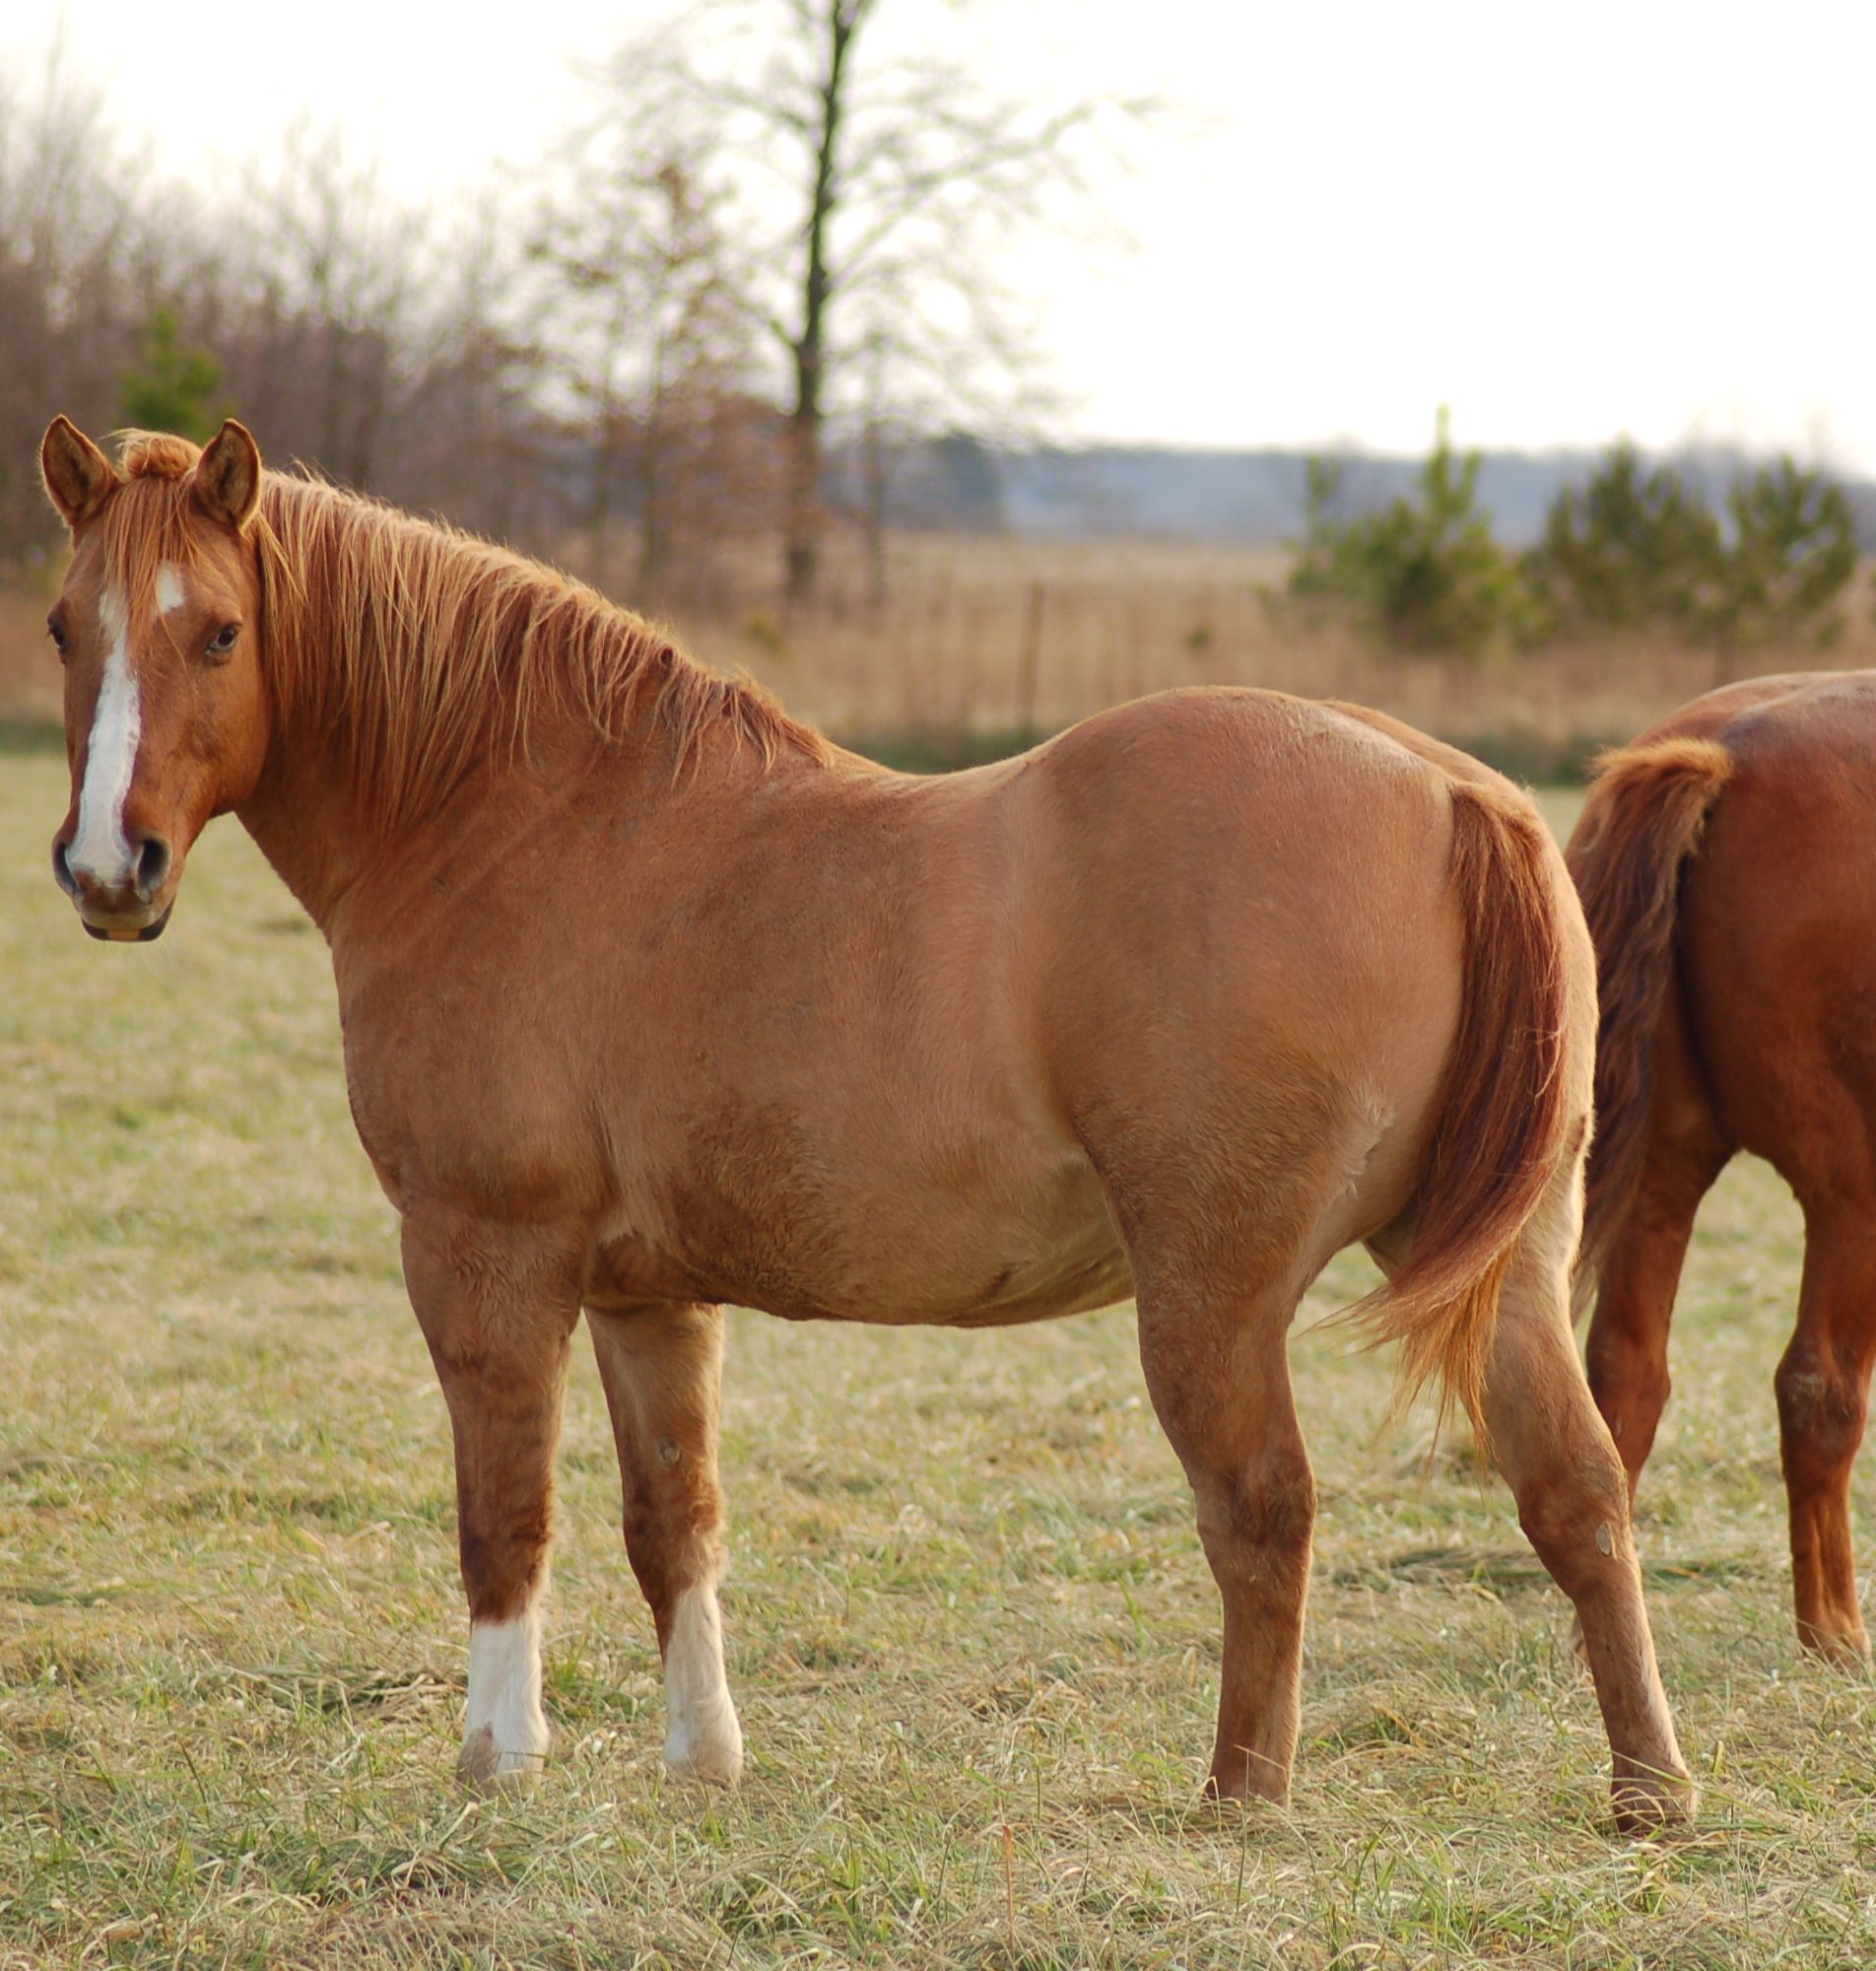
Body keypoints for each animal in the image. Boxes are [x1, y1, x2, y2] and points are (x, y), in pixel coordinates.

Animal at [40, 420, 1687, 1829]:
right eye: (66, 627)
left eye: (219, 631)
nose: (108, 871)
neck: (523, 819)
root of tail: (1452, 789)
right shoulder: (646, 1294)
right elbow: (673, 1522)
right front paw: (702, 1764)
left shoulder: (484, 1259)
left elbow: (505, 1519)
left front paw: (496, 1761)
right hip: (1506, 1272)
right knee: (1577, 1492)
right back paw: (1647, 1793)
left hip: (1212, 1300)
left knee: (1264, 1511)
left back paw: (1243, 1800)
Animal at [1576, 678, 1876, 1664]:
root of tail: (1722, 753)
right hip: (1852, 1195)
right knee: (1818, 1391)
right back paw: (1834, 1632)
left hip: (1660, 1173)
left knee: (1623, 1379)